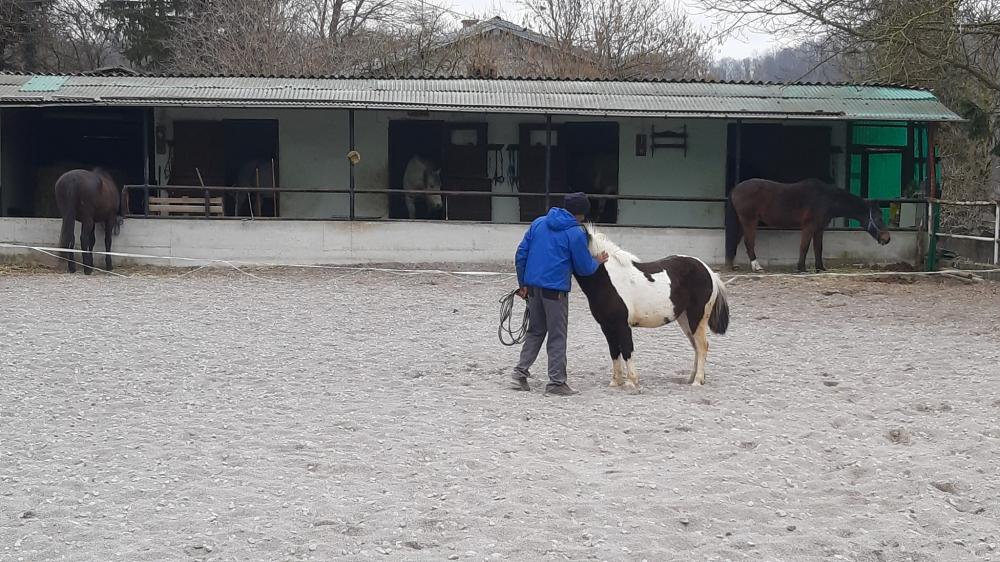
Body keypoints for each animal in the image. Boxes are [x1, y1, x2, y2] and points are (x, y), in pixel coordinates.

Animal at [576, 221, 732, 388]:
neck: (607, 280)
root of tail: (709, 272)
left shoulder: (622, 325)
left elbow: (627, 350)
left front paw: (631, 382)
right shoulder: (606, 327)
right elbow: (614, 352)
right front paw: (615, 382)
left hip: (697, 318)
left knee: (702, 346)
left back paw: (697, 380)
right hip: (685, 319)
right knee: (696, 346)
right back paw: (691, 378)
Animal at [728, 175, 892, 272]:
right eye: (879, 218)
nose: (887, 238)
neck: (827, 199)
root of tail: (735, 189)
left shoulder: (819, 229)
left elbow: (818, 248)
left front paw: (820, 268)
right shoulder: (809, 227)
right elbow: (805, 247)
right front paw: (801, 268)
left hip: (742, 222)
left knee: (735, 240)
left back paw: (732, 265)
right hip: (749, 221)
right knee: (749, 242)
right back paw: (756, 266)